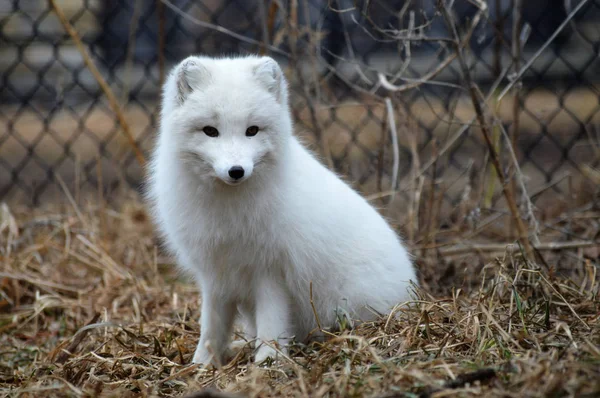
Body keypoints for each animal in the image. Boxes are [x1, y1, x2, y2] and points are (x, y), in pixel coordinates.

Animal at [146, 54, 418, 366]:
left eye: (252, 130)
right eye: (210, 131)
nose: (236, 171)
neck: (229, 209)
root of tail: (415, 294)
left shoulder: (271, 271)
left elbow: (271, 322)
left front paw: (268, 361)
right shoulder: (215, 273)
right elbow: (211, 327)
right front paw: (202, 364)